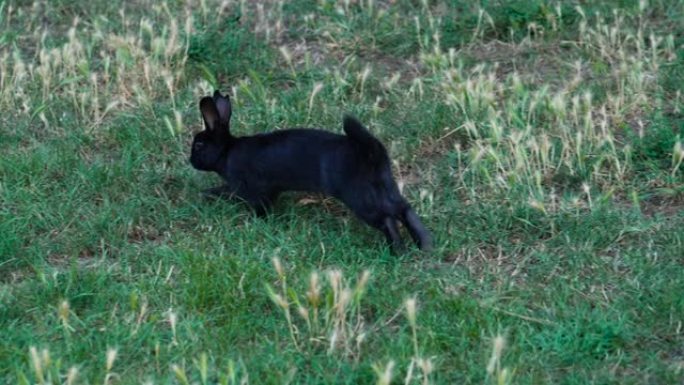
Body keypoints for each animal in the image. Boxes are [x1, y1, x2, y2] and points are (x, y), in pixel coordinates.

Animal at [188, 90, 432, 252]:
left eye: (198, 144)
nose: (190, 160)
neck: (227, 151)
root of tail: (371, 152)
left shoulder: (249, 189)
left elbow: (242, 200)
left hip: (360, 198)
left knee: (387, 218)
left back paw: (397, 250)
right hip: (385, 187)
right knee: (403, 210)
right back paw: (423, 245)